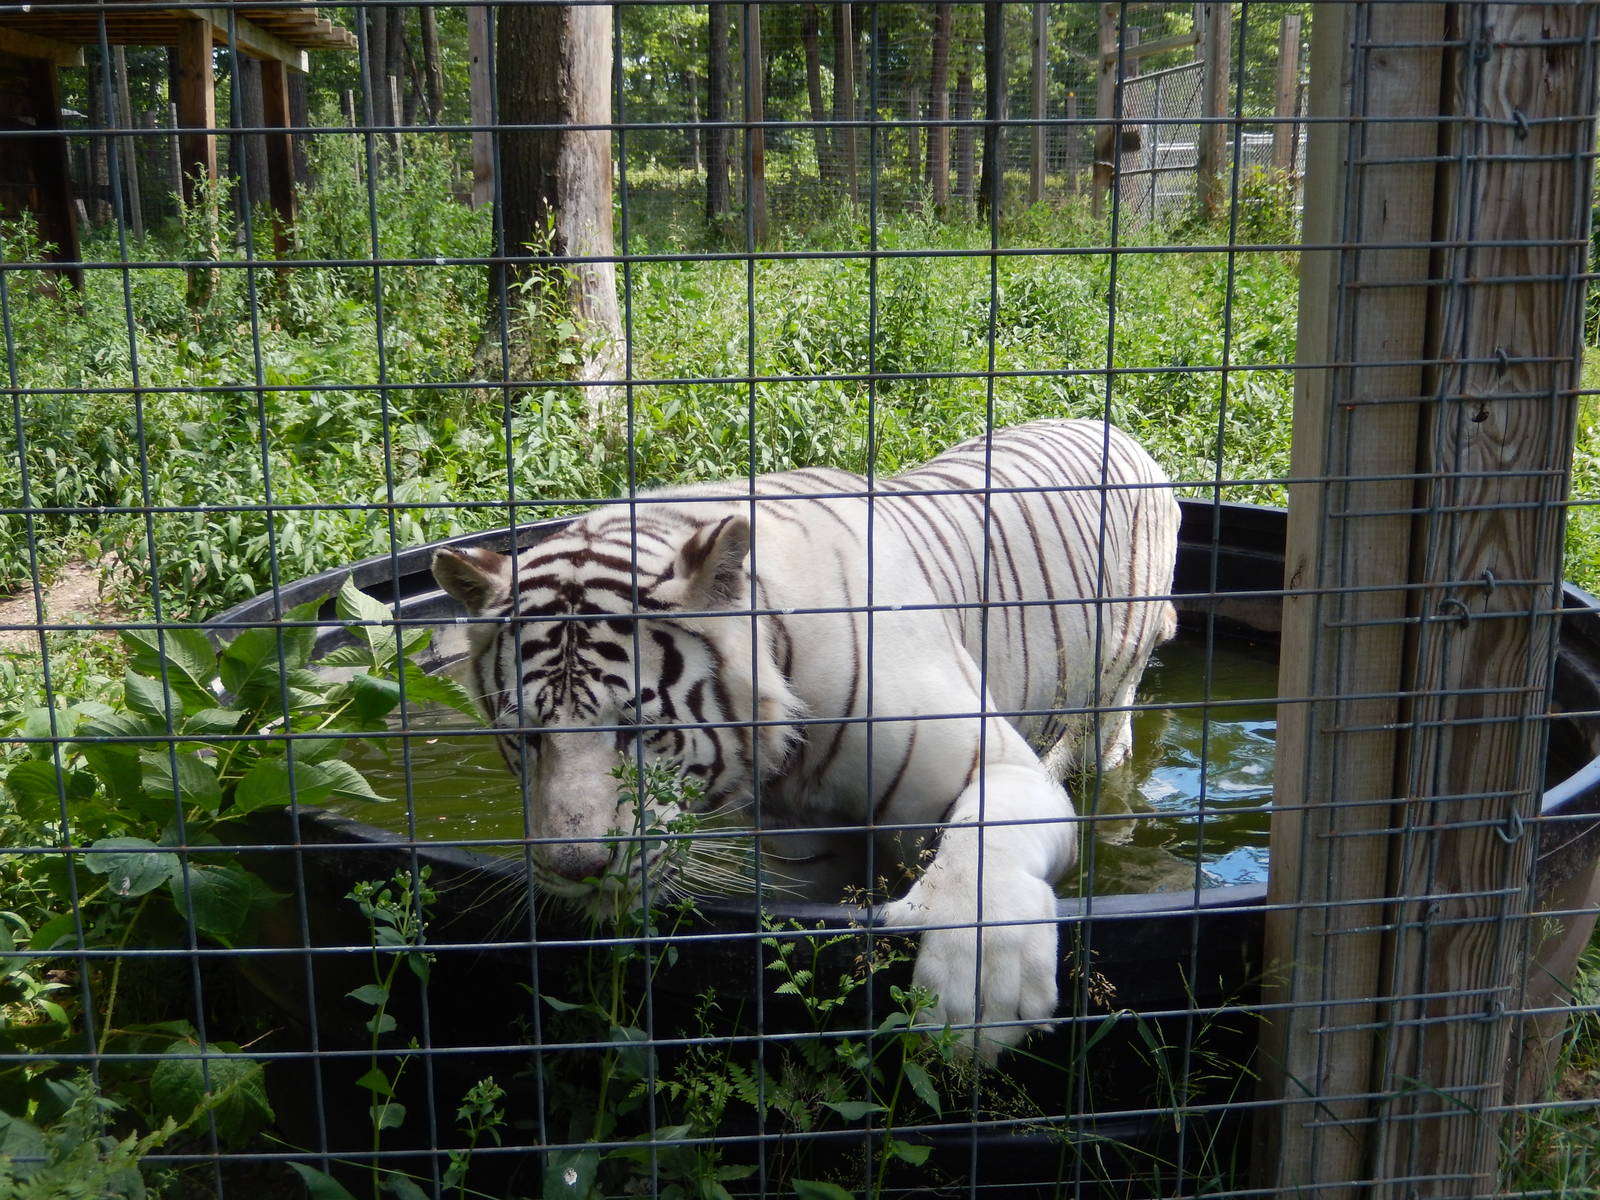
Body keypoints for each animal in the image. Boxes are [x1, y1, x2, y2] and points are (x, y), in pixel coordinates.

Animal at [432, 417, 1180, 1056]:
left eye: (638, 731)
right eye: (526, 736)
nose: (575, 869)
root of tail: (1117, 430)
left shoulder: (995, 764)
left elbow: (983, 846)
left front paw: (973, 999)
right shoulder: (804, 854)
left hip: (1116, 676)